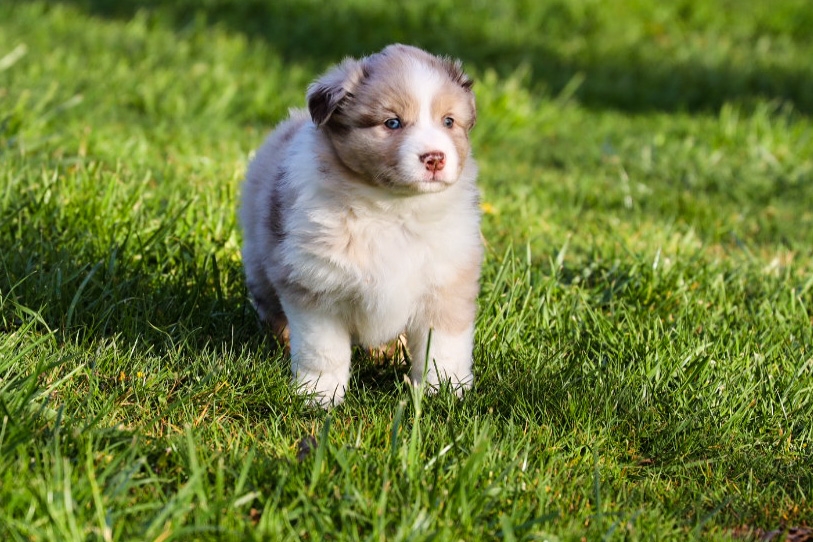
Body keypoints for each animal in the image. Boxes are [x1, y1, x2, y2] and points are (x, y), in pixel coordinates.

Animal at [239, 43, 482, 408]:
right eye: (392, 122)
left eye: (448, 121)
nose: (435, 158)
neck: (393, 209)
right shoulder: (316, 285)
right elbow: (323, 351)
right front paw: (320, 395)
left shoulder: (445, 283)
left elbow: (443, 347)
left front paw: (443, 392)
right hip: (261, 265)